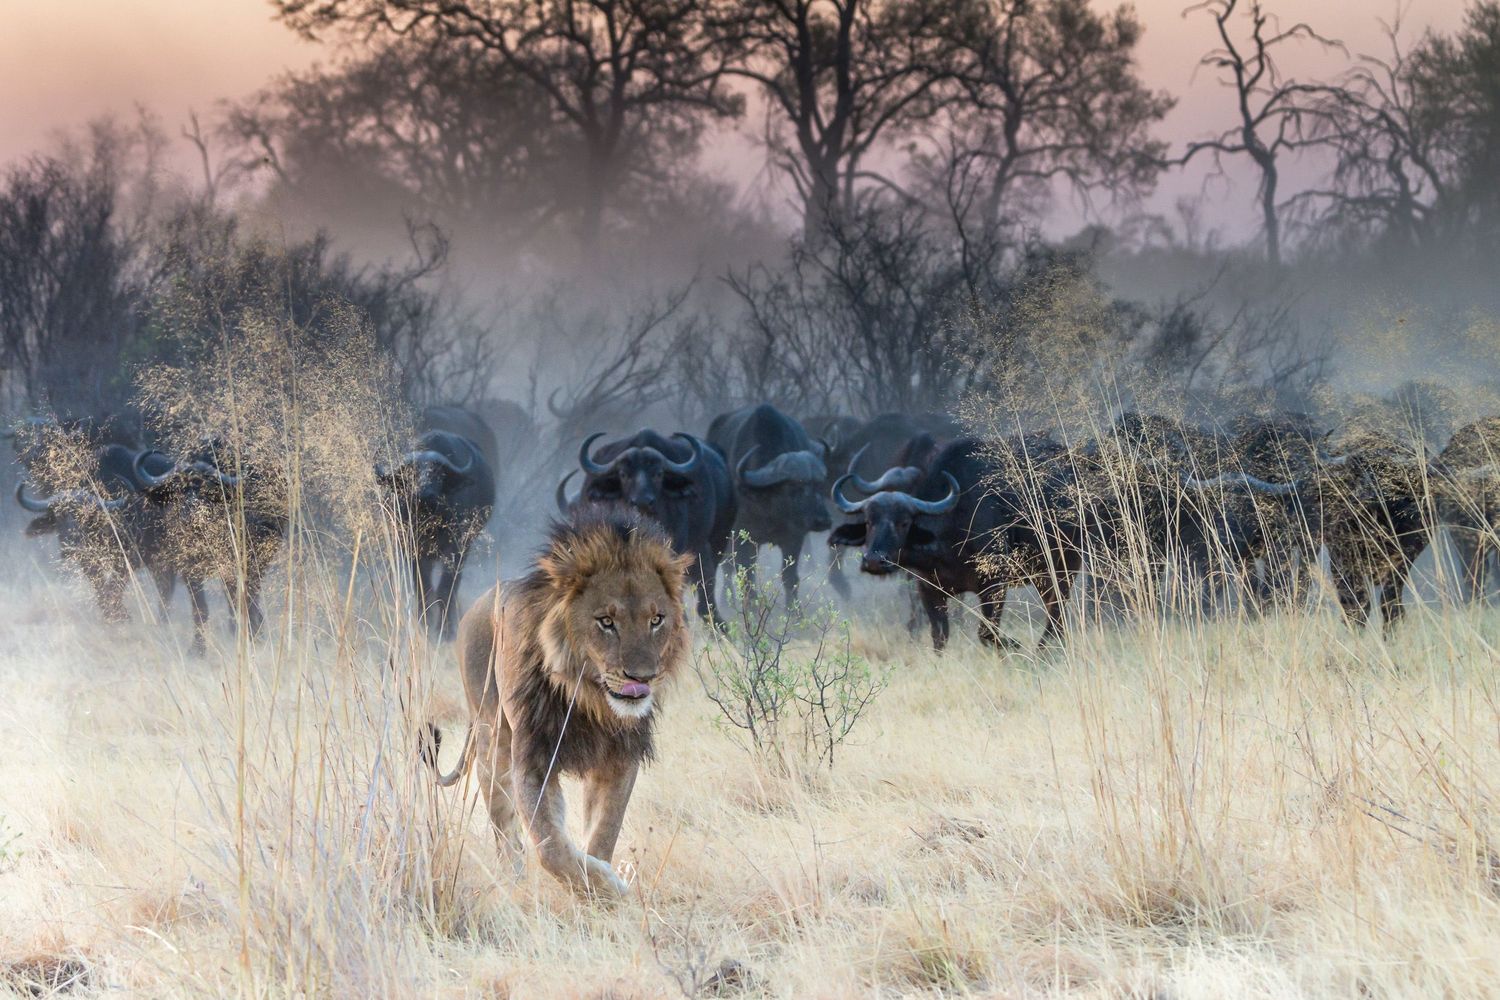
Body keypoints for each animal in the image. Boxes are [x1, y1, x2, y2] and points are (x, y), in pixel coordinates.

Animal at [431, 503, 695, 898]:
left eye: (656, 620)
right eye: (606, 621)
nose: (643, 678)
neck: (589, 702)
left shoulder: (619, 759)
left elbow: (603, 833)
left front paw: (600, 885)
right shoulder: (533, 759)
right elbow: (550, 846)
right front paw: (608, 886)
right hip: (492, 739)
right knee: (504, 827)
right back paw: (513, 881)